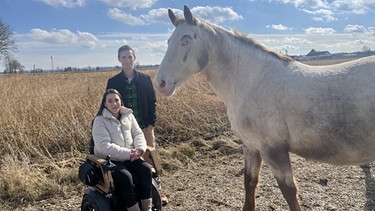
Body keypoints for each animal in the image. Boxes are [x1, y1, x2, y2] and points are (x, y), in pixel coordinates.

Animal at [153, 4, 375, 211]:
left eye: (186, 40)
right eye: (168, 41)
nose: (160, 83)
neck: (253, 82)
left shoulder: (274, 150)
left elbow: (289, 191)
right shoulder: (251, 146)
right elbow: (250, 183)